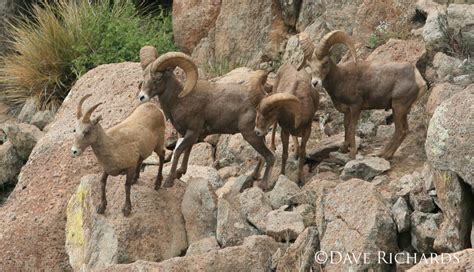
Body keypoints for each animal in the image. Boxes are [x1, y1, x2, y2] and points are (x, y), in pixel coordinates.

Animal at [138, 46, 274, 190]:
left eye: (158, 78)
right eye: (144, 76)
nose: (142, 97)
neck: (180, 99)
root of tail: (261, 99)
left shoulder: (192, 132)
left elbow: (178, 151)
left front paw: (169, 181)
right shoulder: (190, 134)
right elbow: (187, 151)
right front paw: (180, 173)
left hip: (250, 135)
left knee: (270, 157)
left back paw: (263, 185)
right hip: (258, 135)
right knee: (263, 156)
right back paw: (253, 176)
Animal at [302, 31, 428, 159]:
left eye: (325, 63)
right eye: (309, 65)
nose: (315, 83)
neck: (341, 78)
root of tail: (418, 78)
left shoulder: (355, 107)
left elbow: (352, 128)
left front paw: (352, 154)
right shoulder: (347, 111)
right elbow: (346, 127)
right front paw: (343, 149)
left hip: (398, 107)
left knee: (399, 131)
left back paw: (384, 155)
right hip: (403, 110)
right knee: (405, 131)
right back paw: (384, 153)